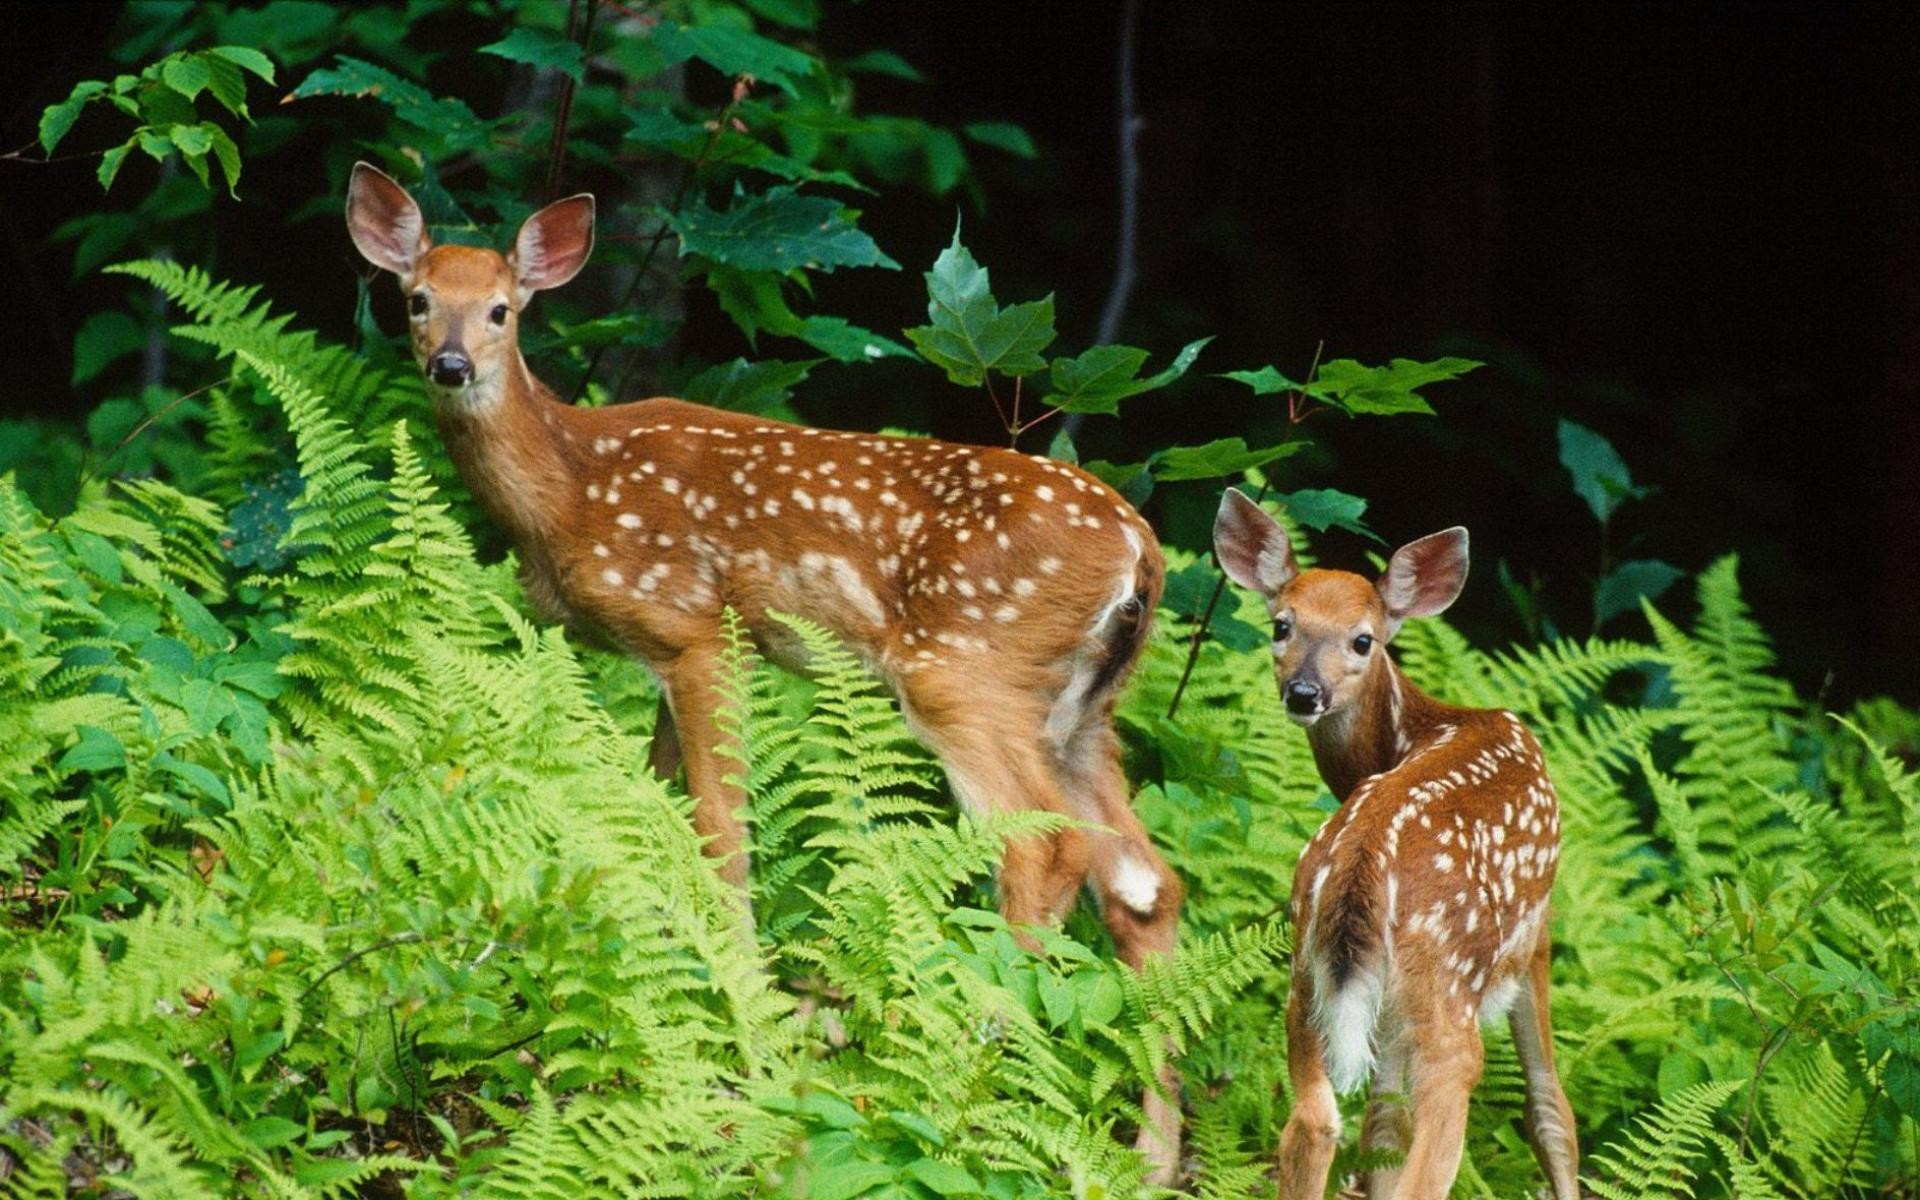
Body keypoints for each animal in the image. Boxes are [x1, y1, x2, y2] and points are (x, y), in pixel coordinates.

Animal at [345, 161, 1182, 1182]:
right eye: (418, 299)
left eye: (503, 309)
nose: (452, 366)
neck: (571, 490)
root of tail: (1141, 552)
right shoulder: (659, 658)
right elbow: (647, 820)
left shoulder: (699, 629)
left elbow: (719, 837)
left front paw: (747, 1037)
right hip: (1083, 711)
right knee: (1144, 884)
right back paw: (1151, 1161)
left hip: (964, 666)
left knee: (1042, 848)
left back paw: (962, 1082)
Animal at [1213, 489, 1574, 1198]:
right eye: (1281, 625)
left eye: (1363, 639)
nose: (1305, 692)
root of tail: (1360, 866)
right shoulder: (1537, 930)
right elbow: (1551, 1110)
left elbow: (1380, 1126)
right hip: (1446, 988)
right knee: (1432, 1145)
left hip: (1307, 976)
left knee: (1318, 1123)